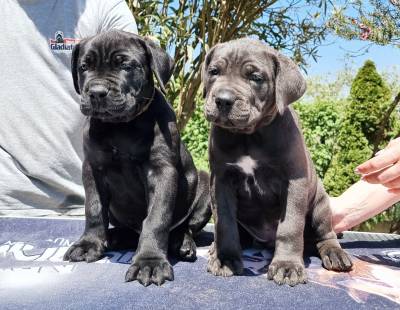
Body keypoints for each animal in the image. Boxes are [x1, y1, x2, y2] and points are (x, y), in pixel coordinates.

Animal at [62, 30, 211, 286]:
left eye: (126, 66)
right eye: (84, 66)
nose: (97, 92)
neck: (121, 126)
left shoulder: (161, 171)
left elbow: (156, 218)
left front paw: (149, 262)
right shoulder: (92, 168)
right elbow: (93, 208)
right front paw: (89, 243)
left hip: (205, 185)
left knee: (185, 226)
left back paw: (182, 243)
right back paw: (114, 236)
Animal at [202, 38, 352, 286]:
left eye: (255, 78)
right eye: (214, 72)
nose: (223, 100)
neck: (249, 135)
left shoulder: (294, 182)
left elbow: (290, 226)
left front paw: (287, 266)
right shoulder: (220, 181)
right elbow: (225, 223)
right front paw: (226, 259)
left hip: (320, 205)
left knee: (325, 235)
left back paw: (335, 253)